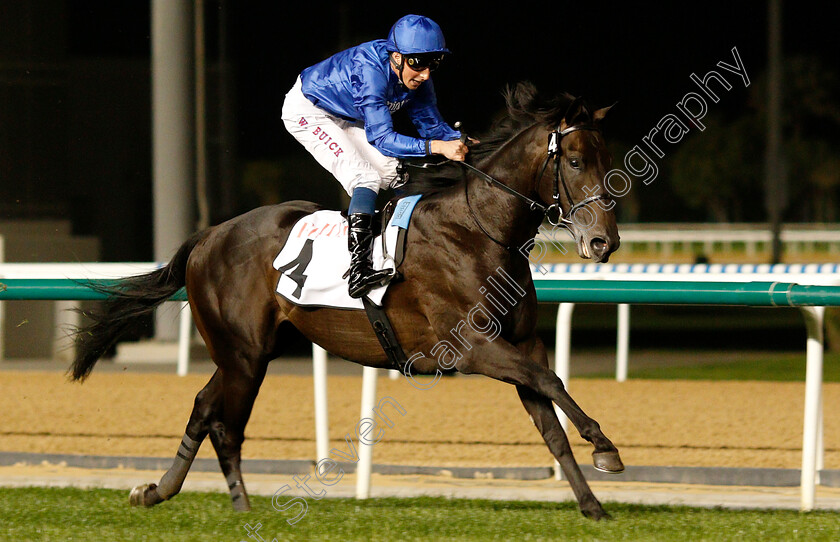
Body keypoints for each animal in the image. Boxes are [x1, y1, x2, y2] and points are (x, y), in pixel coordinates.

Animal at [70, 84, 624, 524]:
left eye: (607, 160)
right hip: (243, 355)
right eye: (576, 161)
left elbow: (550, 418)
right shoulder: (471, 346)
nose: (604, 242)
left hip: (249, 352)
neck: (478, 230)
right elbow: (551, 383)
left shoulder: (522, 342)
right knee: (226, 425)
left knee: (204, 407)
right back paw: (240, 507)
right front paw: (606, 448)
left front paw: (591, 503)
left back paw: (157, 491)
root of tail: (210, 234)